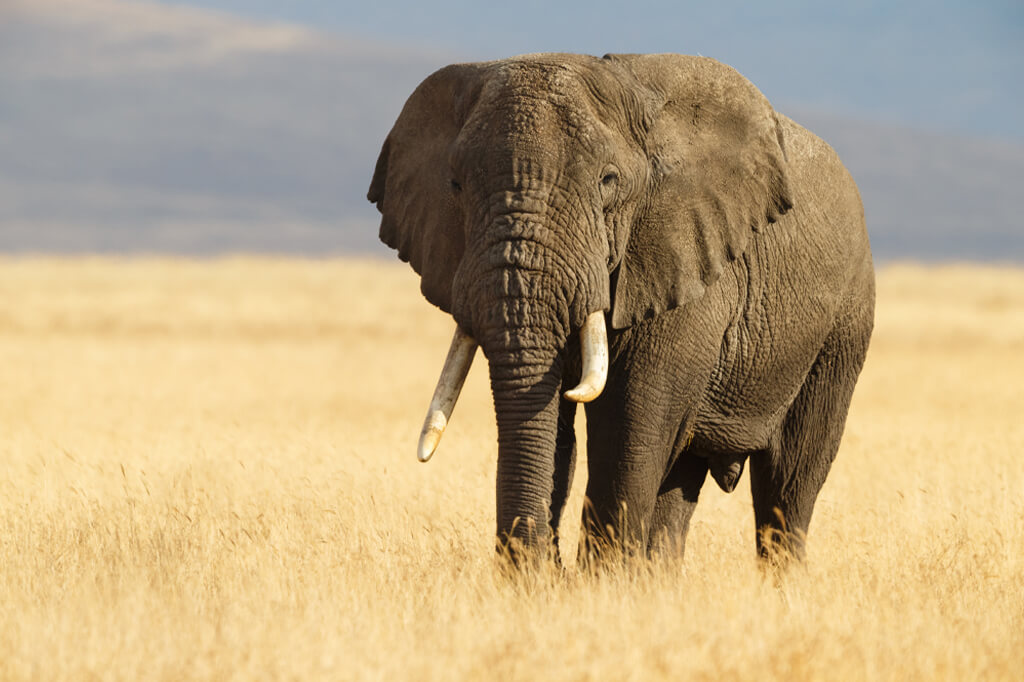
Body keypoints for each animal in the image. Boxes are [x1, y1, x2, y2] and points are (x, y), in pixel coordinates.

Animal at [368, 51, 872, 561]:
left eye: (608, 181)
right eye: (454, 184)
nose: (539, 565)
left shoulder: (685, 262)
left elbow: (629, 426)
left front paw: (603, 578)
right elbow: (556, 429)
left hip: (843, 328)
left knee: (789, 480)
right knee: (682, 482)